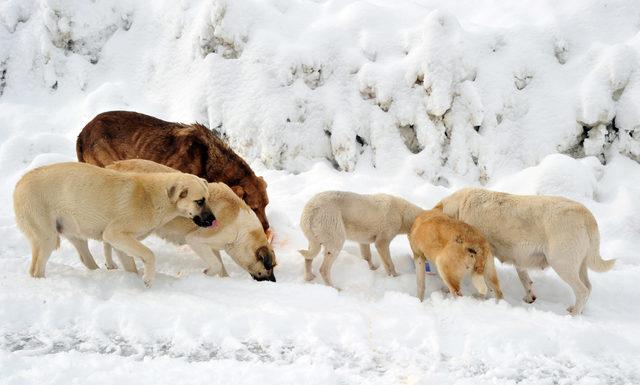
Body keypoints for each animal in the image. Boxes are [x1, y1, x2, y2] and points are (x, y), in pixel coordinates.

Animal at [13, 160, 214, 286]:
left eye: (208, 199)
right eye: (200, 201)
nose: (214, 220)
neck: (152, 197)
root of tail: (19, 183)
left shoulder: (119, 242)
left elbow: (131, 266)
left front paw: (133, 279)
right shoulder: (115, 234)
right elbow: (149, 254)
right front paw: (148, 279)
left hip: (75, 235)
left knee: (86, 260)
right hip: (47, 238)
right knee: (36, 270)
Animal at [436, 187, 616, 316]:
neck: (461, 206)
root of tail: (586, 215)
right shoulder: (519, 261)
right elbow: (525, 280)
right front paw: (529, 298)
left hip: (563, 265)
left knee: (582, 291)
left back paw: (573, 316)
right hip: (580, 265)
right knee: (588, 287)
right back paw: (577, 310)